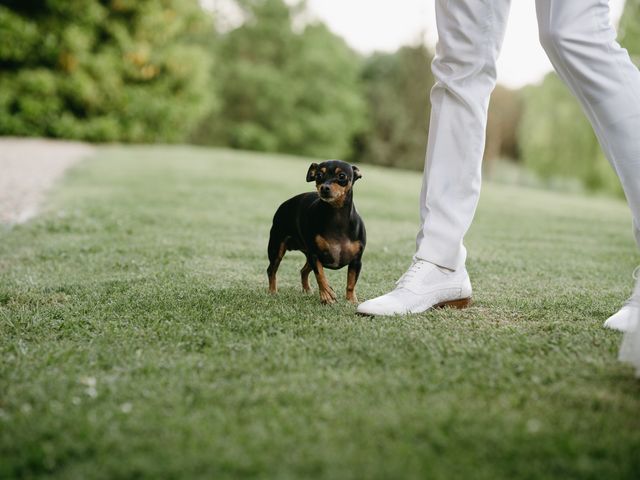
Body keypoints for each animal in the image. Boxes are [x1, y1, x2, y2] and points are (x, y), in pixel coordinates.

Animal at [266, 161, 364, 304]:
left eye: (341, 176)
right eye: (318, 175)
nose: (324, 188)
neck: (336, 217)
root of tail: (283, 205)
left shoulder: (356, 261)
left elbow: (351, 283)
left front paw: (351, 300)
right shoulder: (315, 256)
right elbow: (321, 276)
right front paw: (327, 295)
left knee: (303, 271)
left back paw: (307, 290)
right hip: (277, 249)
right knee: (271, 270)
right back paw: (273, 291)